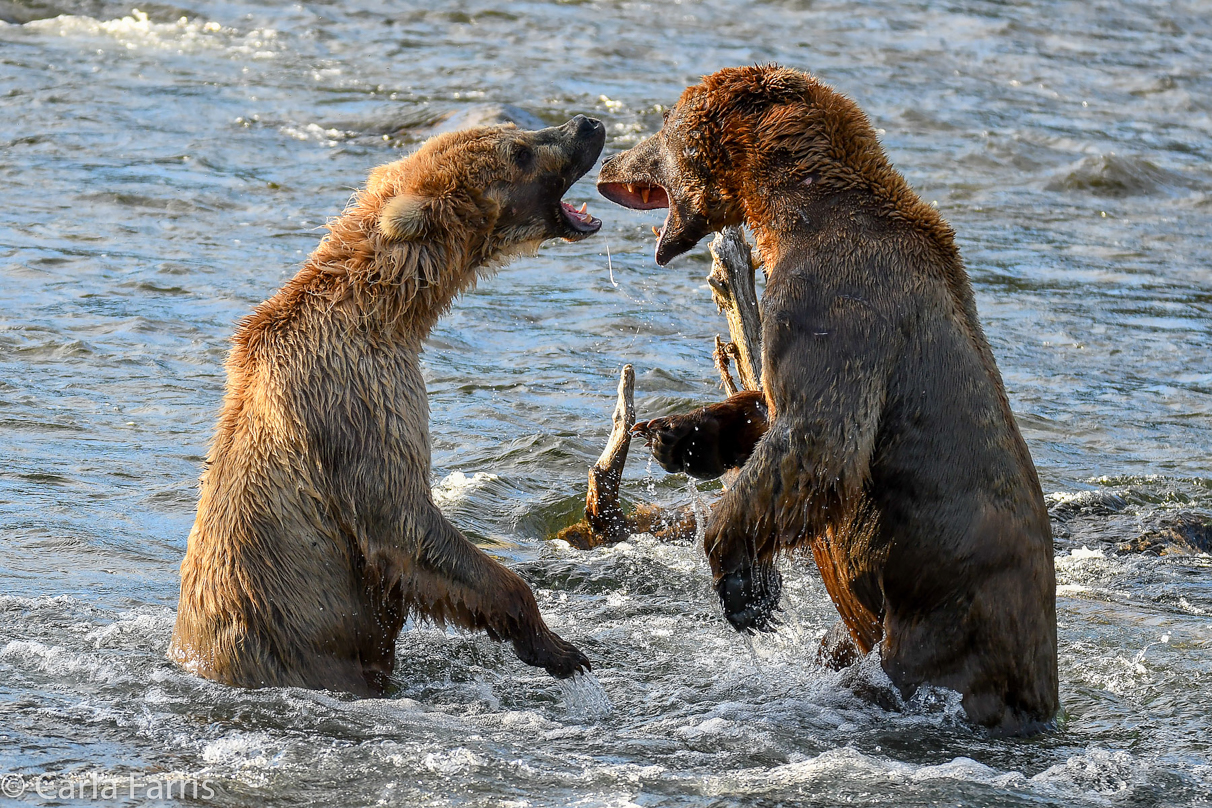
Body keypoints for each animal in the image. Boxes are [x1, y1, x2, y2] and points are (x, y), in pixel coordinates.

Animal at [170, 113, 606, 697]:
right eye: (519, 151)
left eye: (517, 129)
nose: (587, 124)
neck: (390, 310)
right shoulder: (360, 394)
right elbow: (401, 521)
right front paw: (558, 647)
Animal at [601, 66, 1056, 736]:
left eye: (662, 128)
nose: (610, 163)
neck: (790, 213)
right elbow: (767, 405)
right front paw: (679, 434)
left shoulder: (834, 305)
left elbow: (820, 438)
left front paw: (743, 583)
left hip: (947, 619)